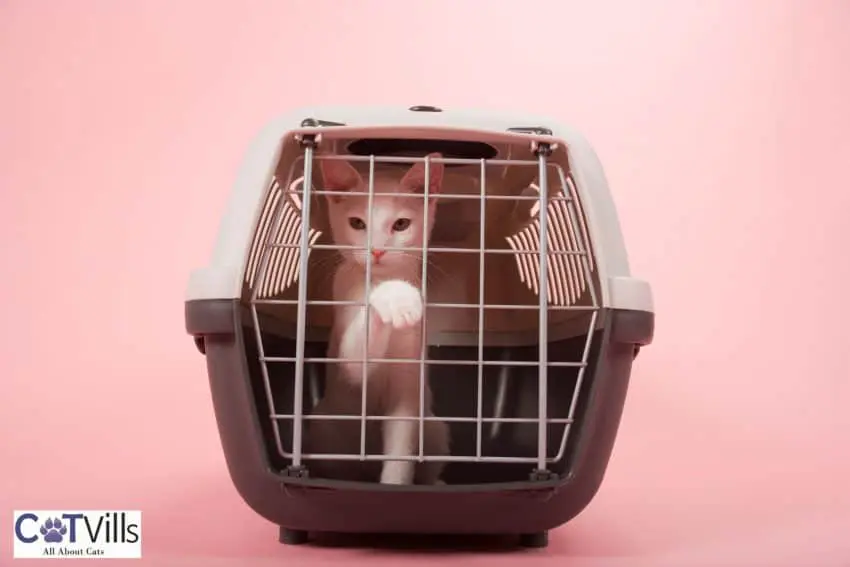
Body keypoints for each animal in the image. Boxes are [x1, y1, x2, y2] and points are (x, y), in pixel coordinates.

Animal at [304, 153, 450, 486]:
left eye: (401, 224)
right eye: (357, 223)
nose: (377, 251)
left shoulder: (408, 388)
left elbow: (400, 450)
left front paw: (395, 486)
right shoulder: (347, 334)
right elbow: (355, 361)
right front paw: (394, 297)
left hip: (435, 427)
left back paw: (434, 481)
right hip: (324, 426)